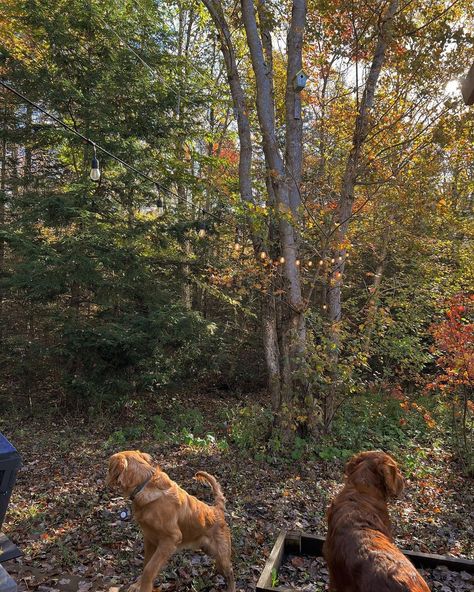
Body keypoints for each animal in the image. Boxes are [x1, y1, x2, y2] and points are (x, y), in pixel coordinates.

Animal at [106, 448, 235, 592]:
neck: (144, 485)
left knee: (230, 572)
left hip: (221, 556)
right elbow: (146, 565)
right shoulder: (149, 539)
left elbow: (149, 569)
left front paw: (144, 587)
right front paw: (137, 585)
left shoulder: (170, 539)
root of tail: (217, 510)